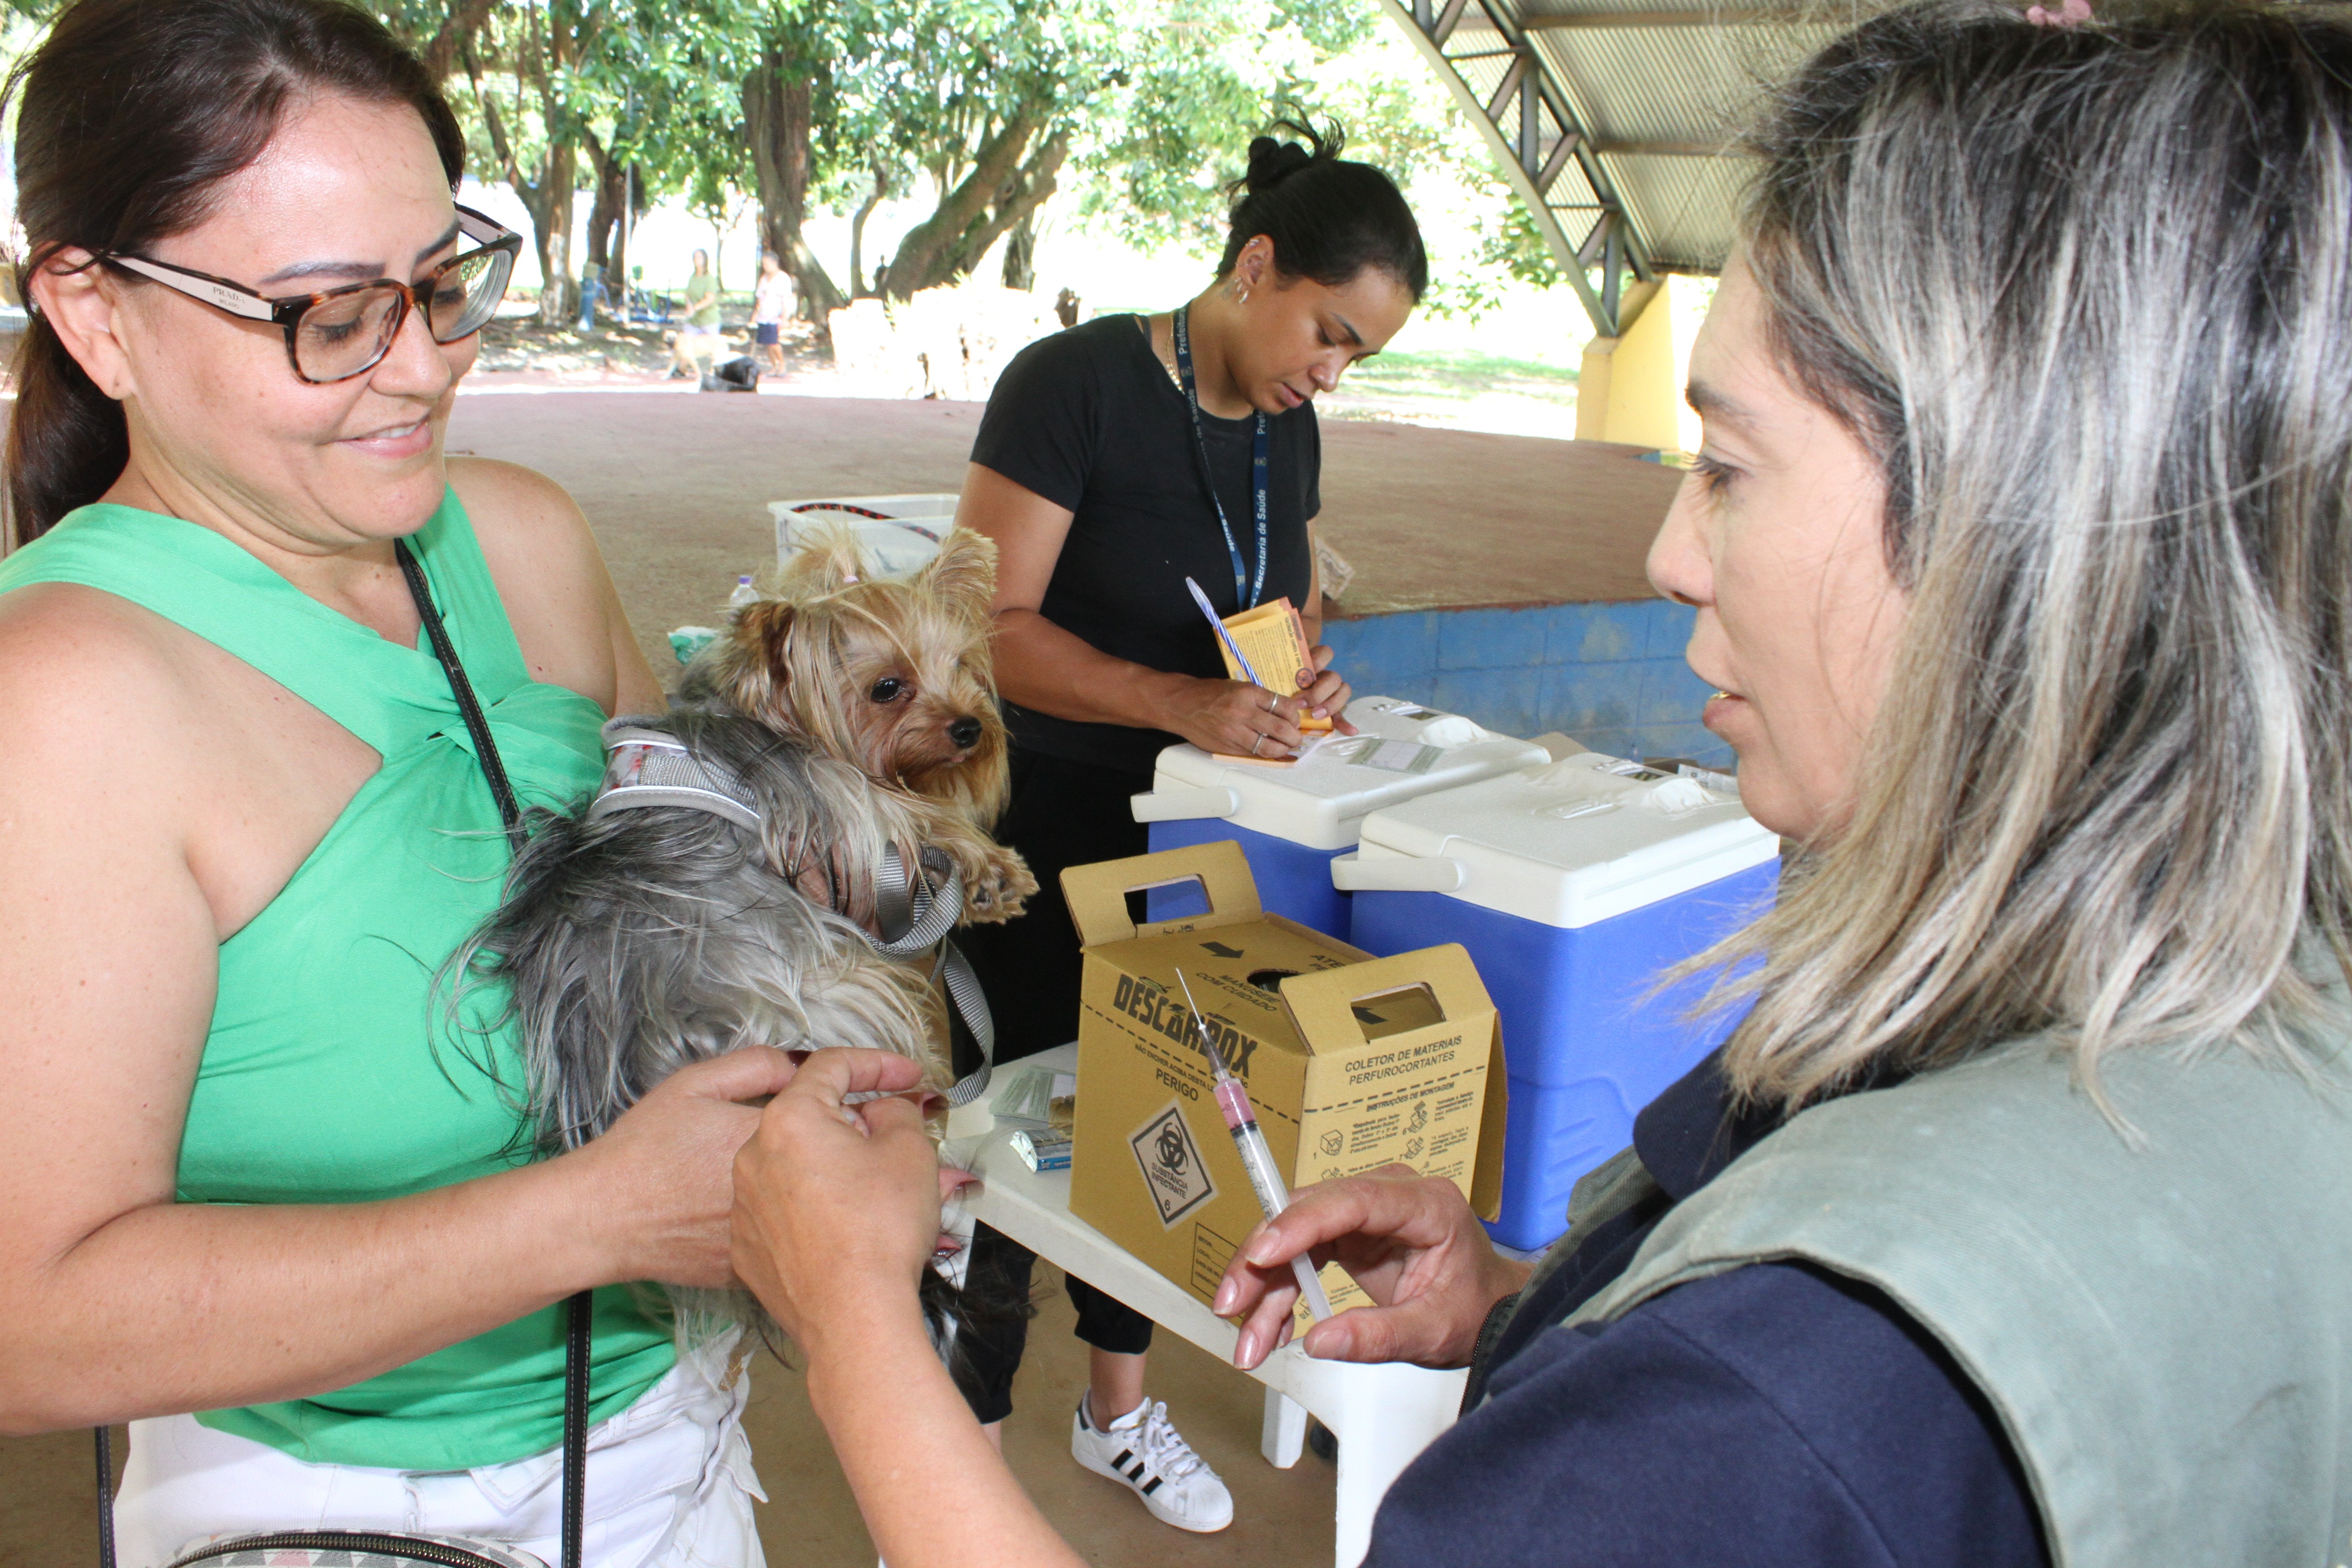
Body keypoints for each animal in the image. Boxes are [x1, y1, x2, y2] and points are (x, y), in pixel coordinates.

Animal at [458, 526, 1030, 1354]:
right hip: (831, 1004)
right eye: (886, 688)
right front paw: (987, 865)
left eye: (961, 667)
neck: (761, 716)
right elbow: (914, 814)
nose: (970, 729)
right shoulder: (832, 799)